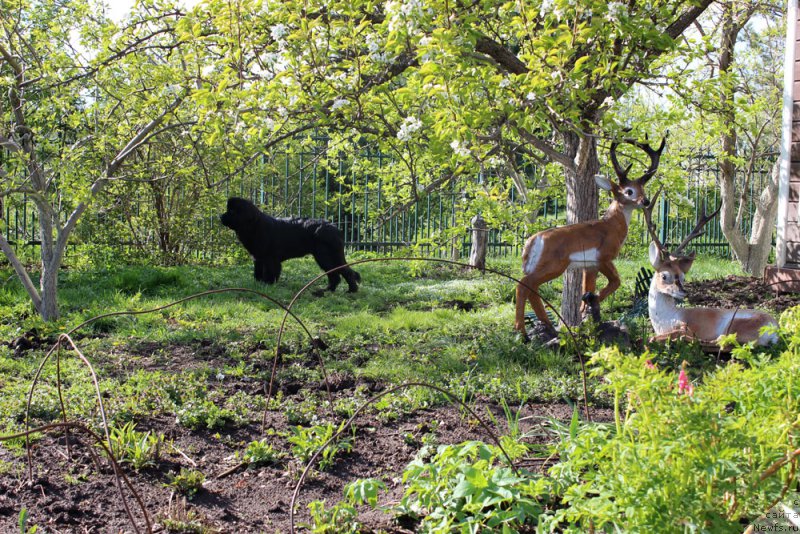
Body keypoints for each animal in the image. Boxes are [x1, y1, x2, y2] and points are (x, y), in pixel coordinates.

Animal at [217, 199, 358, 296]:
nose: (220, 216)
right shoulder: (258, 258)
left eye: (232, 211)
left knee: (345, 273)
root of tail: (336, 229)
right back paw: (327, 291)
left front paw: (268, 285)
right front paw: (258, 285)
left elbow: (270, 272)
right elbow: (258, 273)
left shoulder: (270, 259)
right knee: (336, 275)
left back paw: (350, 291)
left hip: (325, 256)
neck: (254, 226)